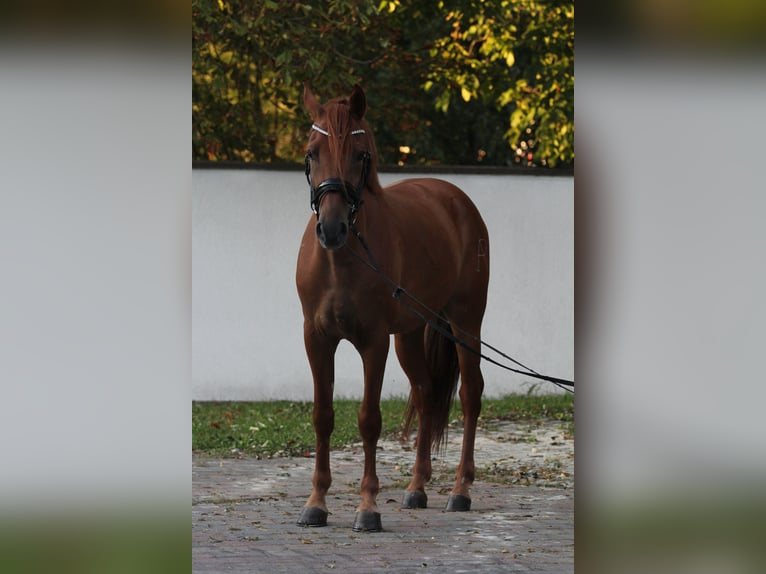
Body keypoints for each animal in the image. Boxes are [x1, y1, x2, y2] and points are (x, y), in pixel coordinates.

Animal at [296, 85, 488, 536]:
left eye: (360, 154)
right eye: (312, 152)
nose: (332, 229)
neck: (343, 260)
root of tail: (456, 200)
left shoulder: (373, 342)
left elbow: (369, 419)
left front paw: (367, 508)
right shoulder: (317, 339)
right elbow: (322, 416)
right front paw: (316, 503)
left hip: (466, 323)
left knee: (470, 394)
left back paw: (461, 490)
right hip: (411, 335)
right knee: (425, 392)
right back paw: (417, 488)